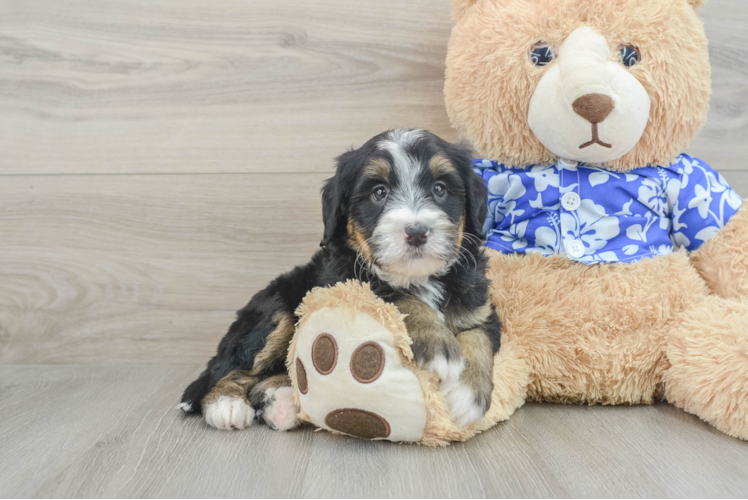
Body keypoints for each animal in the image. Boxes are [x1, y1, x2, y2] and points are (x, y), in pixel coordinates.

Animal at [178, 128, 500, 430]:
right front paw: (438, 345)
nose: (417, 231)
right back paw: (226, 405)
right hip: (273, 312)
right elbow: (396, 297)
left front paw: (468, 395)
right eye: (379, 192)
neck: (417, 278)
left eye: (440, 188)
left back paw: (280, 402)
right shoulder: (344, 285)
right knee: (229, 370)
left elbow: (478, 338)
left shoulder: (480, 309)